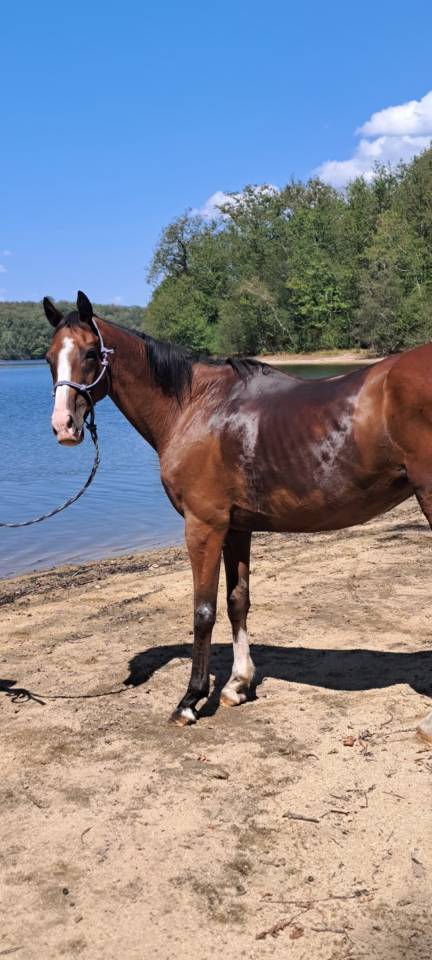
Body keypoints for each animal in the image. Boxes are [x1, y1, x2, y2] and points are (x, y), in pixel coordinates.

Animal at [43, 291, 432, 741]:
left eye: (91, 352)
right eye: (49, 356)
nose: (64, 426)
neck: (196, 406)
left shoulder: (204, 525)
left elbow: (203, 611)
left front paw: (190, 700)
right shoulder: (236, 528)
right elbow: (237, 601)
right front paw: (237, 685)